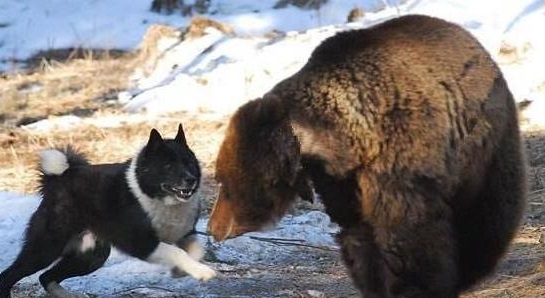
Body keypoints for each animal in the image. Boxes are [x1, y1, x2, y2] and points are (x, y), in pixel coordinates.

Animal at [0, 124, 216, 298]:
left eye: (188, 162)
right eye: (168, 166)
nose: (190, 179)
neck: (157, 198)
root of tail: (58, 180)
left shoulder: (185, 234)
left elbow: (196, 251)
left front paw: (183, 271)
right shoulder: (143, 243)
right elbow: (176, 252)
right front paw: (203, 272)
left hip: (91, 256)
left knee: (46, 277)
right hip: (46, 247)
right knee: (9, 276)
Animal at [206, 14, 524, 298]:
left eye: (224, 182)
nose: (213, 228)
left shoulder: (399, 161)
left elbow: (409, 234)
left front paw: (415, 286)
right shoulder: (340, 181)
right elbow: (360, 235)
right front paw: (374, 281)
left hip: (486, 149)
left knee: (489, 215)